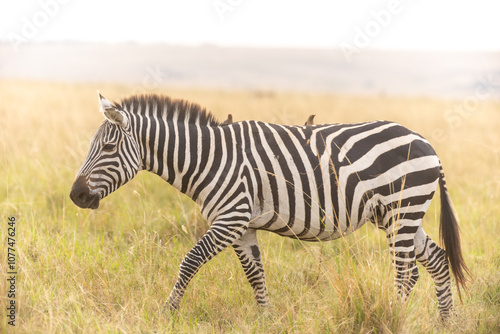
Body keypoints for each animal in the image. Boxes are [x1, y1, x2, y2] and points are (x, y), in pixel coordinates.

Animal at [69, 91, 468, 318]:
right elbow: (255, 274)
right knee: (435, 259)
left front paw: (166, 313)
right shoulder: (242, 225)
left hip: (402, 210)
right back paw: (445, 321)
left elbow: (189, 261)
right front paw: (265, 319)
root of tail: (426, 142)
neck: (209, 158)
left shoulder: (230, 217)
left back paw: (396, 315)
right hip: (396, 215)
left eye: (108, 148)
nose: (75, 196)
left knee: (405, 271)